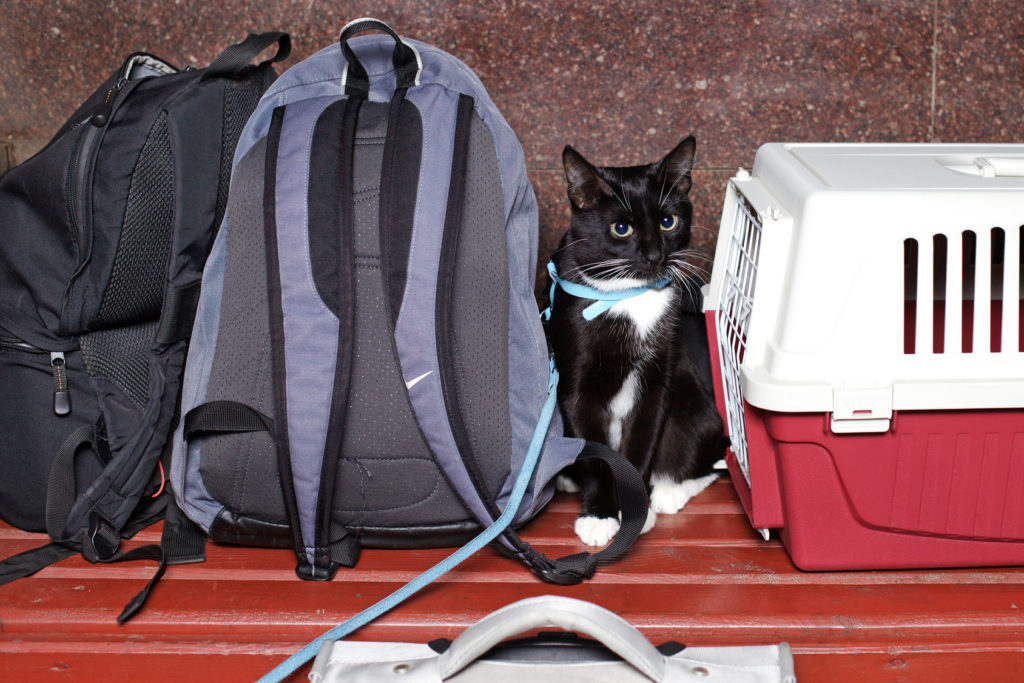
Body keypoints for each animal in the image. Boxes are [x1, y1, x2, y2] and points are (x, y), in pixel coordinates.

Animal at [548, 136, 724, 548]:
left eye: (668, 221)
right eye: (621, 228)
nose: (655, 255)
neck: (629, 295)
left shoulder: (659, 379)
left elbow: (643, 440)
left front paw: (635, 508)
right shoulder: (575, 385)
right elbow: (598, 455)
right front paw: (599, 514)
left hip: (693, 400)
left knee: (703, 448)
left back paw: (670, 491)